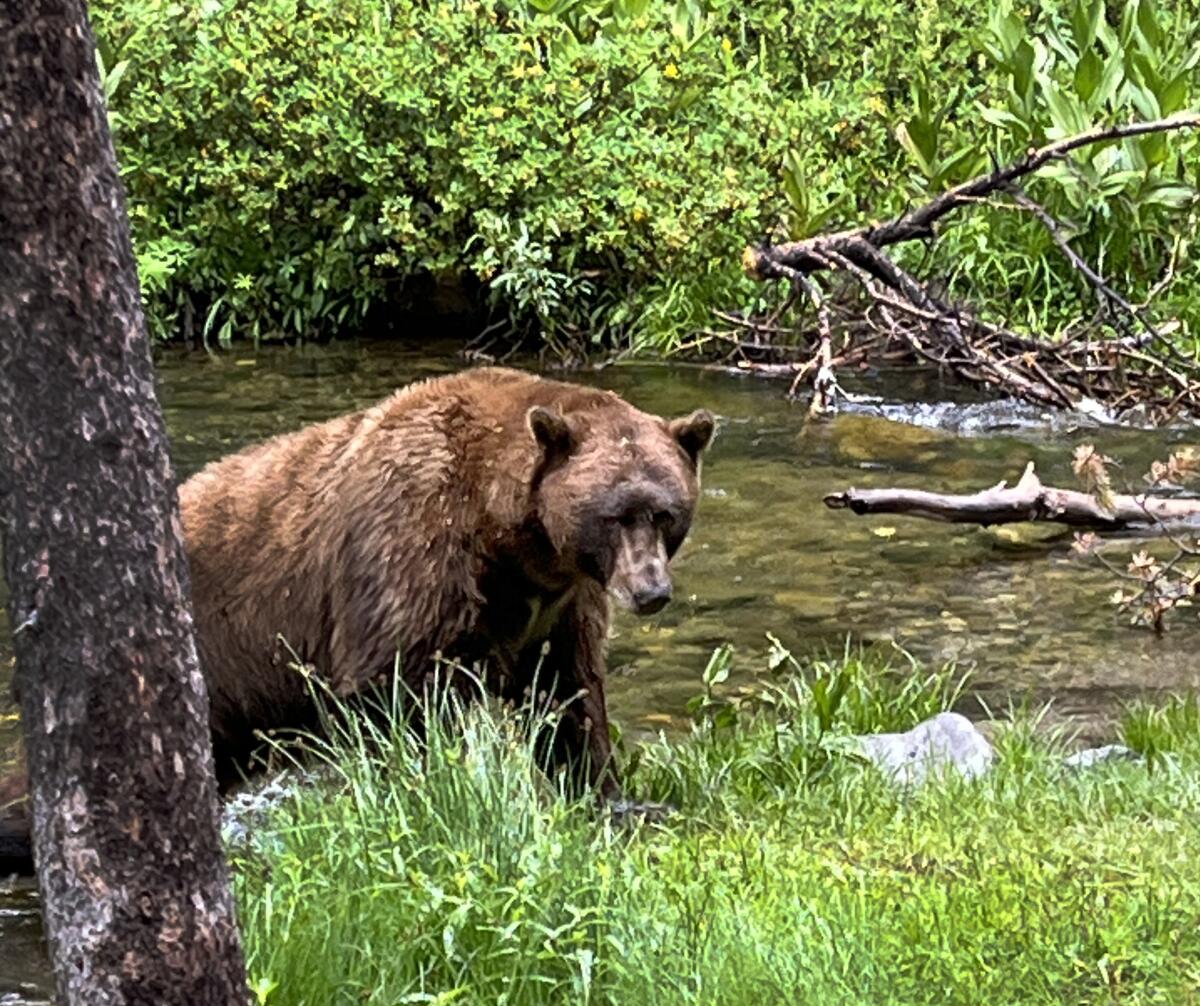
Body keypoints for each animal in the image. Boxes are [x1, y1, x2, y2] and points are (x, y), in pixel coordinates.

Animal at [0, 367, 710, 873]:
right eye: (616, 514)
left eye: (666, 512)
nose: (650, 591)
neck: (511, 538)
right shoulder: (411, 553)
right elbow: (395, 691)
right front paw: (430, 793)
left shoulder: (560, 605)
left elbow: (569, 695)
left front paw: (610, 797)